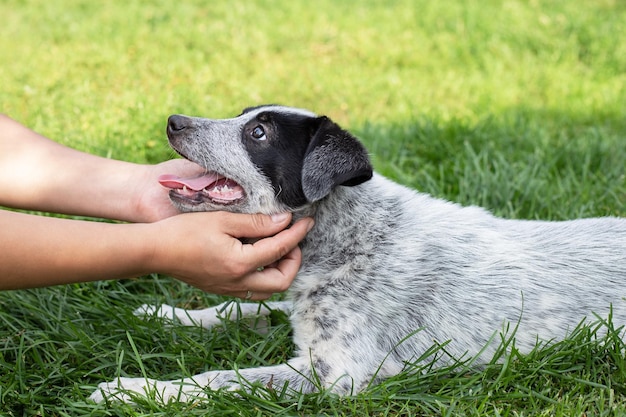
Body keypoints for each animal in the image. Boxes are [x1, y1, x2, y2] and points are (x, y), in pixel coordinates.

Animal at [90, 105, 624, 402]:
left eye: (258, 133)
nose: (173, 121)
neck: (350, 234)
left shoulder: (332, 374)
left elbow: (221, 378)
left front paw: (137, 389)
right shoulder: (300, 309)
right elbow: (237, 308)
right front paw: (167, 315)